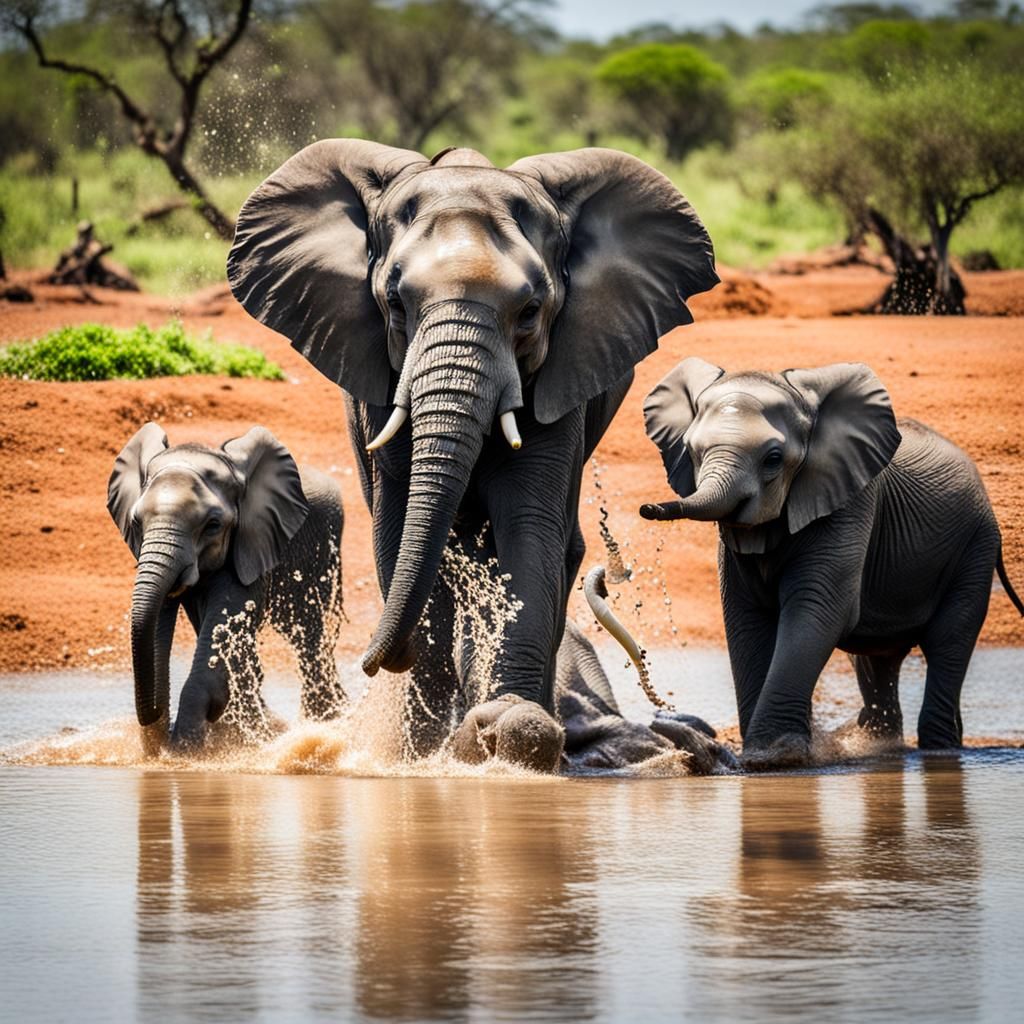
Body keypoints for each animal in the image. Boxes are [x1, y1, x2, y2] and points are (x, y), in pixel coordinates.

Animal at [107, 421, 346, 752]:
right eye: (136, 522)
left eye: (213, 525)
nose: (161, 731)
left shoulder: (251, 541)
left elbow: (226, 621)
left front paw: (187, 750)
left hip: (322, 553)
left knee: (308, 633)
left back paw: (325, 720)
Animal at [227, 139, 718, 770]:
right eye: (395, 302)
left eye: (530, 311)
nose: (376, 660)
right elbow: (397, 530)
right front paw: (421, 753)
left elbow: (529, 526)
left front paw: (509, 728)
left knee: (559, 550)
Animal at [639, 358, 1023, 768]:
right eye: (691, 451)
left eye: (773, 459)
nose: (648, 509)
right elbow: (745, 616)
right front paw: (763, 758)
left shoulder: (850, 502)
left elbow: (816, 608)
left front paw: (775, 757)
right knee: (879, 660)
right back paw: (881, 746)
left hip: (976, 547)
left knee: (947, 641)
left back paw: (939, 752)